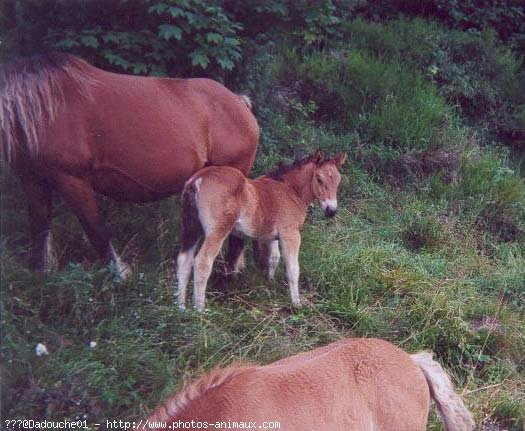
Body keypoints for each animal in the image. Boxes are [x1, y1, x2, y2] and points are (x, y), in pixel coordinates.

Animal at [0, 51, 258, 280]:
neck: (41, 109)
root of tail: (239, 102)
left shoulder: (72, 180)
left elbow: (95, 229)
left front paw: (120, 275)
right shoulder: (33, 180)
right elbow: (39, 227)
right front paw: (40, 272)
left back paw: (228, 276)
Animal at [176, 151, 346, 310]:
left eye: (338, 180)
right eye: (319, 179)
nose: (331, 211)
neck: (290, 190)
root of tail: (198, 178)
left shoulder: (271, 237)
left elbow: (273, 258)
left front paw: (270, 283)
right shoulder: (290, 234)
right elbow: (293, 269)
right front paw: (296, 303)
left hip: (191, 227)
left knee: (184, 260)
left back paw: (181, 308)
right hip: (217, 232)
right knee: (202, 262)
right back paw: (200, 310)